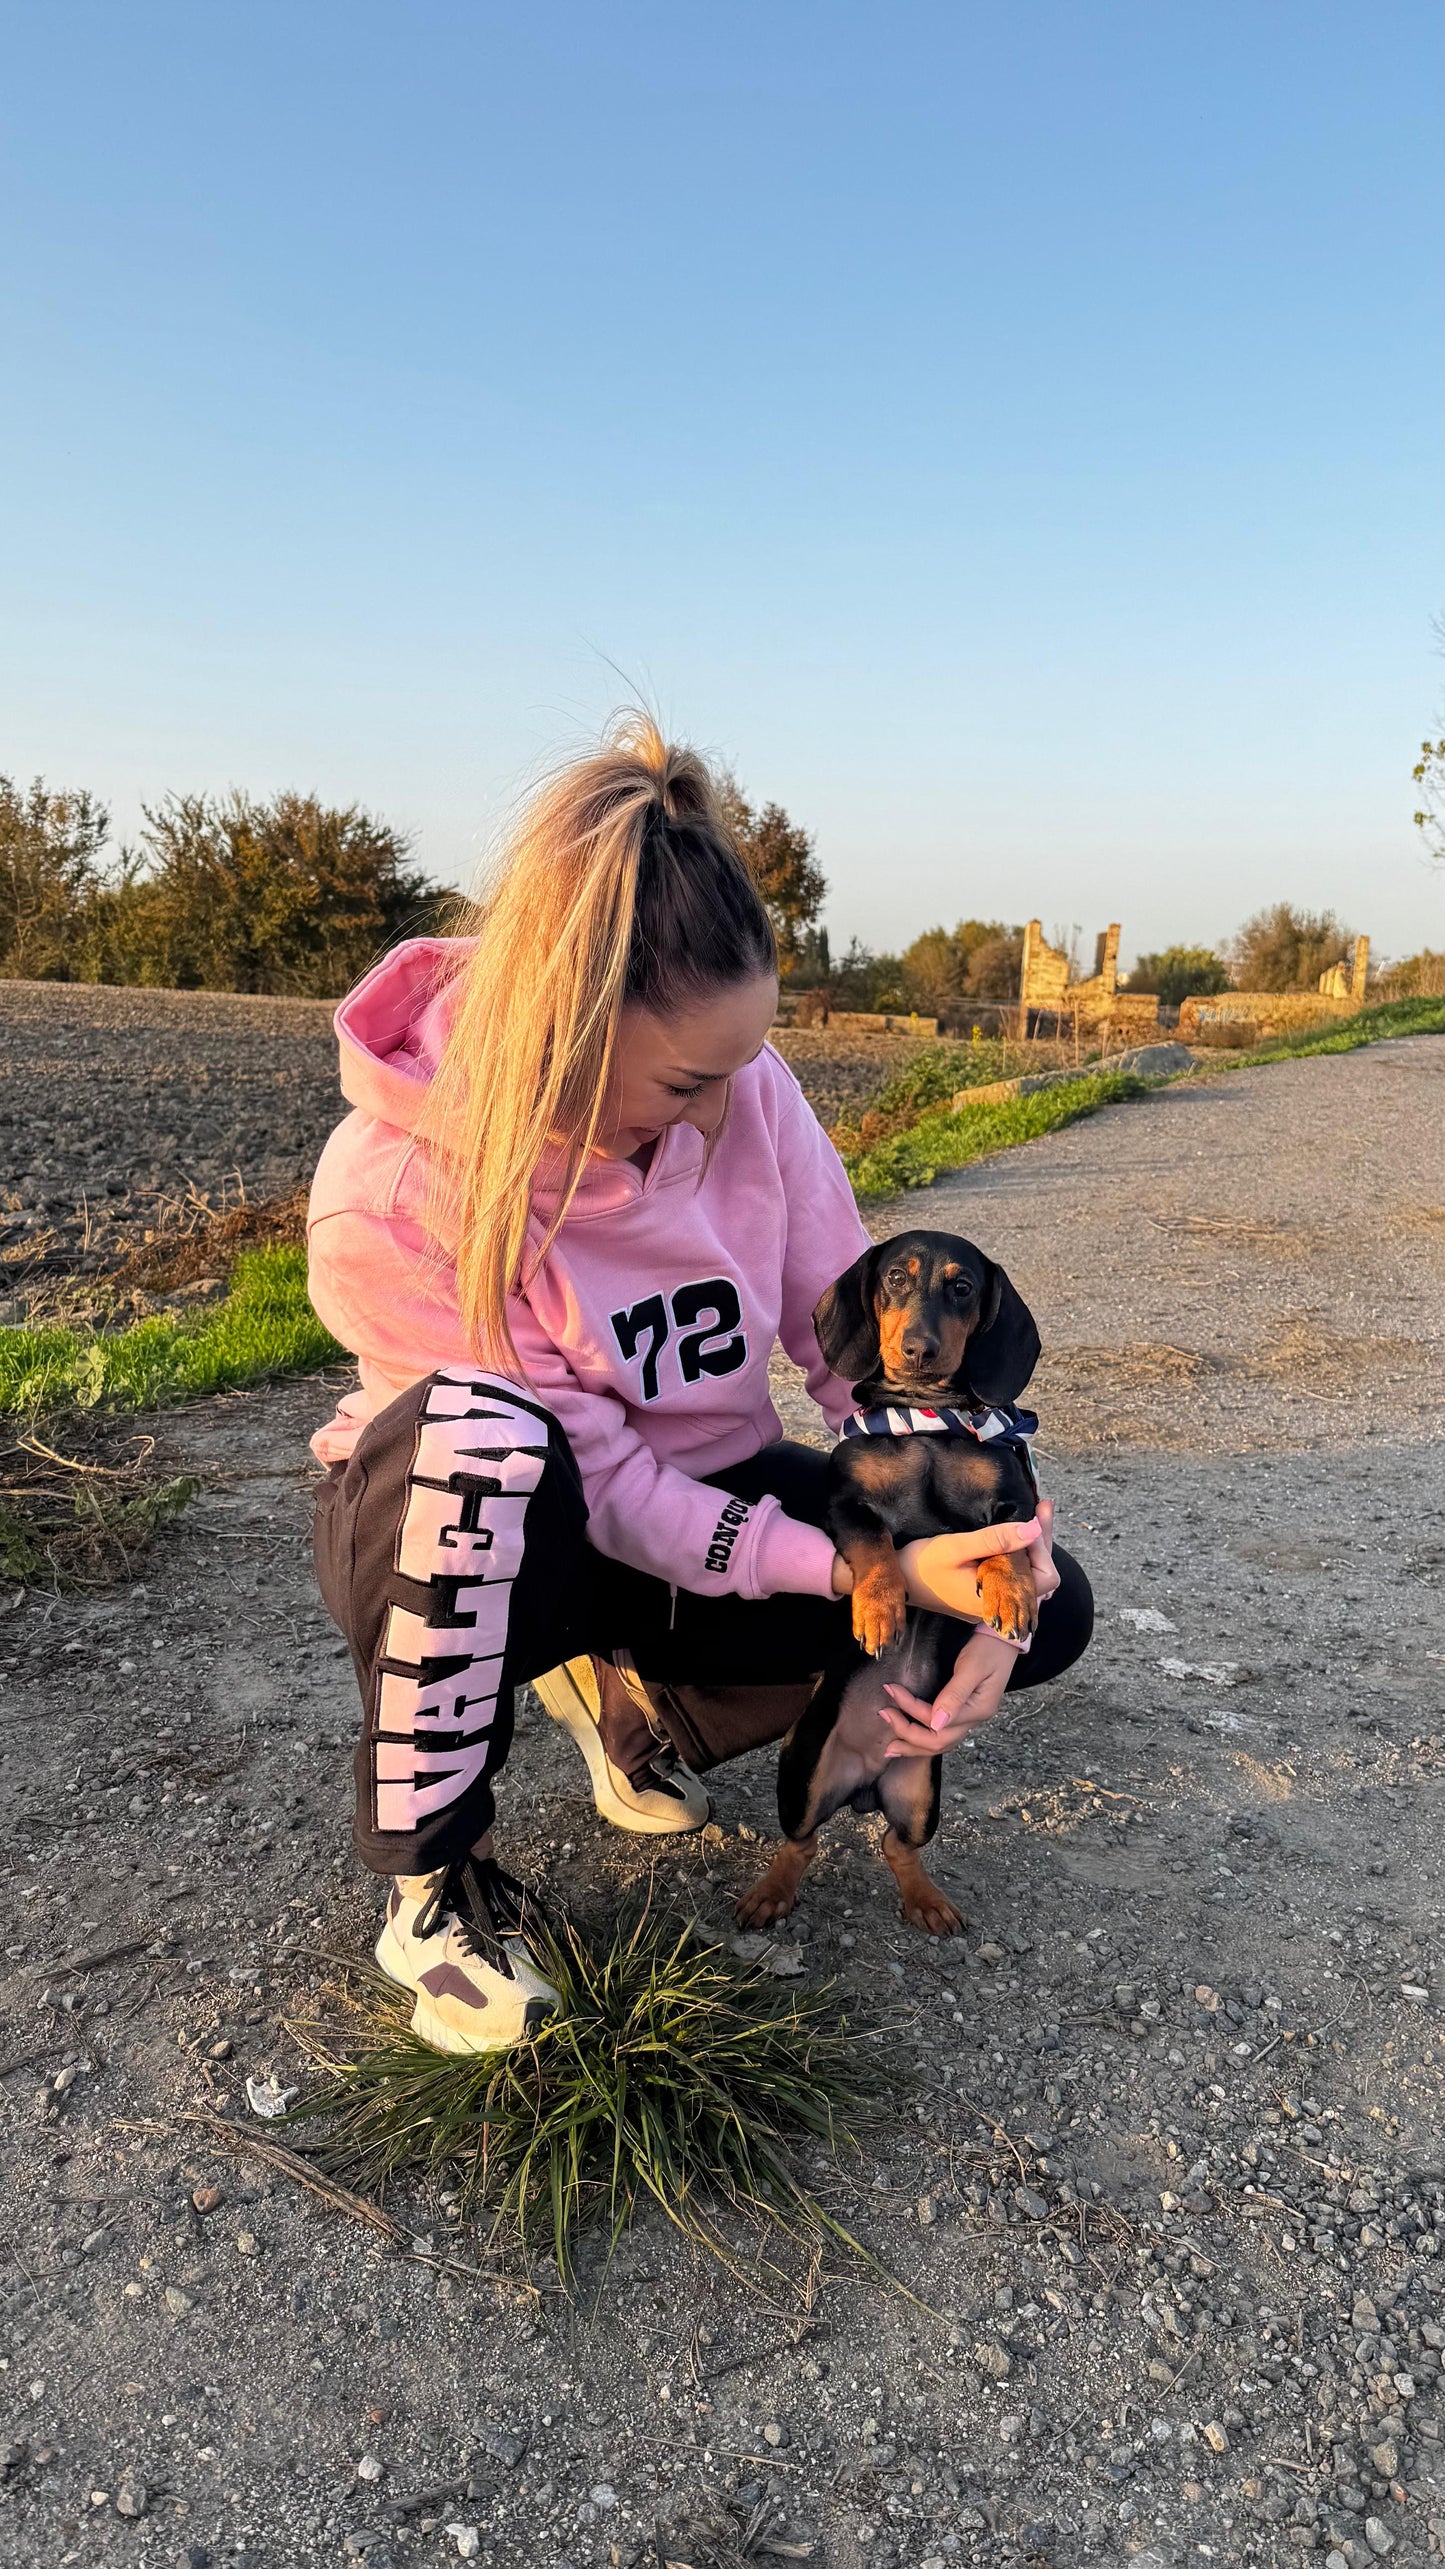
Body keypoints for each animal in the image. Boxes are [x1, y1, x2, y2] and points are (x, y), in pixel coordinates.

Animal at [740, 1233, 1033, 1931]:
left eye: (961, 1287)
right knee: (801, 1841)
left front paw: (1012, 1595)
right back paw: (770, 1894)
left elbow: (1008, 1546)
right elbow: (876, 1545)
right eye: (895, 1278)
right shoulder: (845, 1505)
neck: (925, 1424)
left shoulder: (1017, 1502)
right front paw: (878, 1612)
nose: (919, 1350)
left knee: (896, 1846)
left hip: (922, 1793)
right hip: (803, 1769)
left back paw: (927, 1902)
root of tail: (866, 1786)